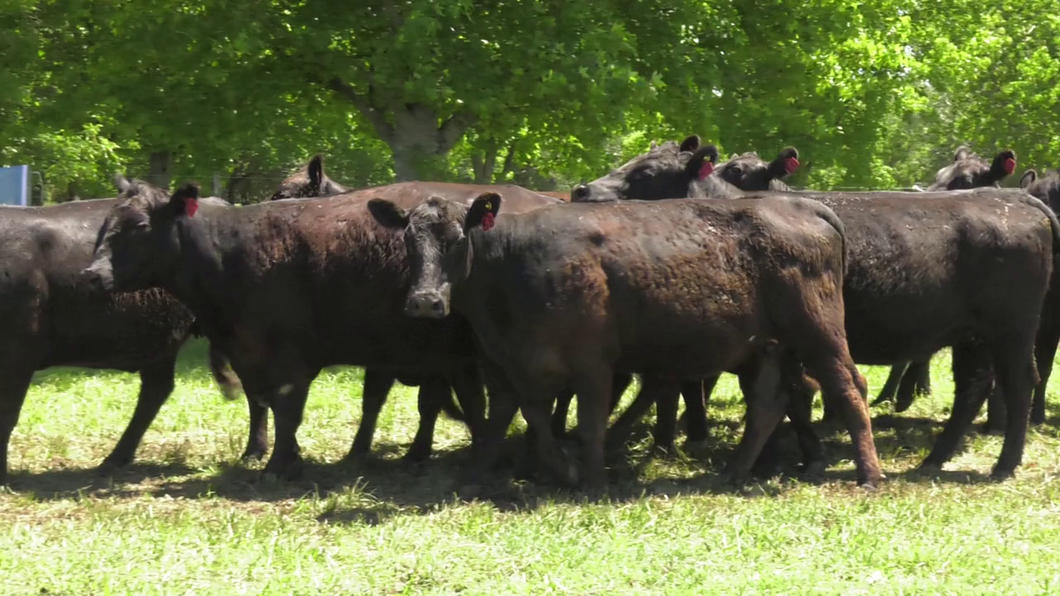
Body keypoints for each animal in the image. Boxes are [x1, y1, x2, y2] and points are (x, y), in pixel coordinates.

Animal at [368, 190, 881, 492]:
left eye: (457, 239)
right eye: (409, 242)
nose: (425, 302)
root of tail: (801, 203)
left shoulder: (592, 361)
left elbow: (590, 421)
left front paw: (593, 480)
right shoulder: (510, 365)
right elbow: (518, 422)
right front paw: (491, 475)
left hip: (818, 330)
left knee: (847, 387)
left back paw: (869, 474)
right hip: (766, 346)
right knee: (769, 403)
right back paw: (733, 472)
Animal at [576, 134, 1055, 477]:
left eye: (647, 173)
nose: (581, 189)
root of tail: (1017, 199)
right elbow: (783, 394)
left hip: (1012, 330)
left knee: (1018, 381)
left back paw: (1004, 463)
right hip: (973, 336)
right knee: (973, 387)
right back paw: (934, 460)